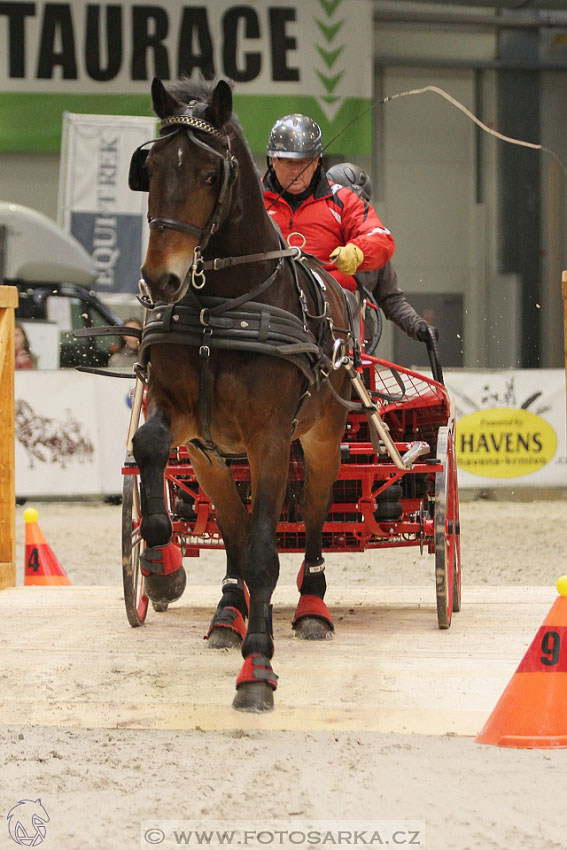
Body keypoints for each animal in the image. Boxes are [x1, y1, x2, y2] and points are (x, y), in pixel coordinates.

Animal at [130, 78, 356, 708]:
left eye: (211, 175)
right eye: (149, 168)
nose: (160, 280)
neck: (220, 306)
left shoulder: (270, 438)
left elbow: (263, 553)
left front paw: (258, 668)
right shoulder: (185, 421)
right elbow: (148, 445)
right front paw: (161, 566)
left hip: (321, 436)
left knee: (312, 515)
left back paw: (311, 606)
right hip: (211, 458)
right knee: (231, 528)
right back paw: (227, 613)